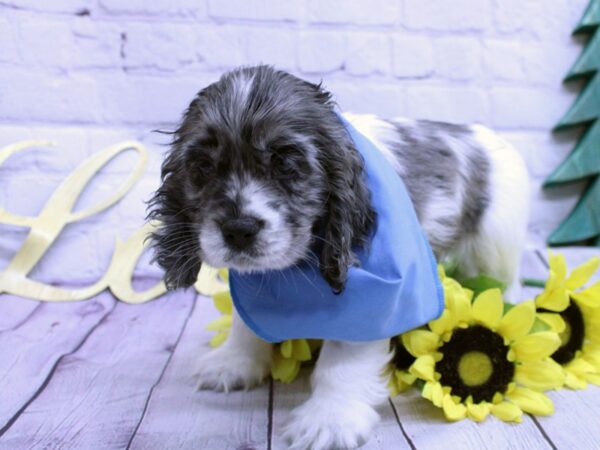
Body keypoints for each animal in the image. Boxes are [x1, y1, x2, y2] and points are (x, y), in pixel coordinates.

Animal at [148, 65, 528, 448]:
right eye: (202, 167)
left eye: (287, 165)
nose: (238, 229)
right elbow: (245, 322)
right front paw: (233, 362)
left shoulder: (371, 297)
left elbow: (342, 360)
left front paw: (329, 418)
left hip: (495, 247)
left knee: (505, 283)